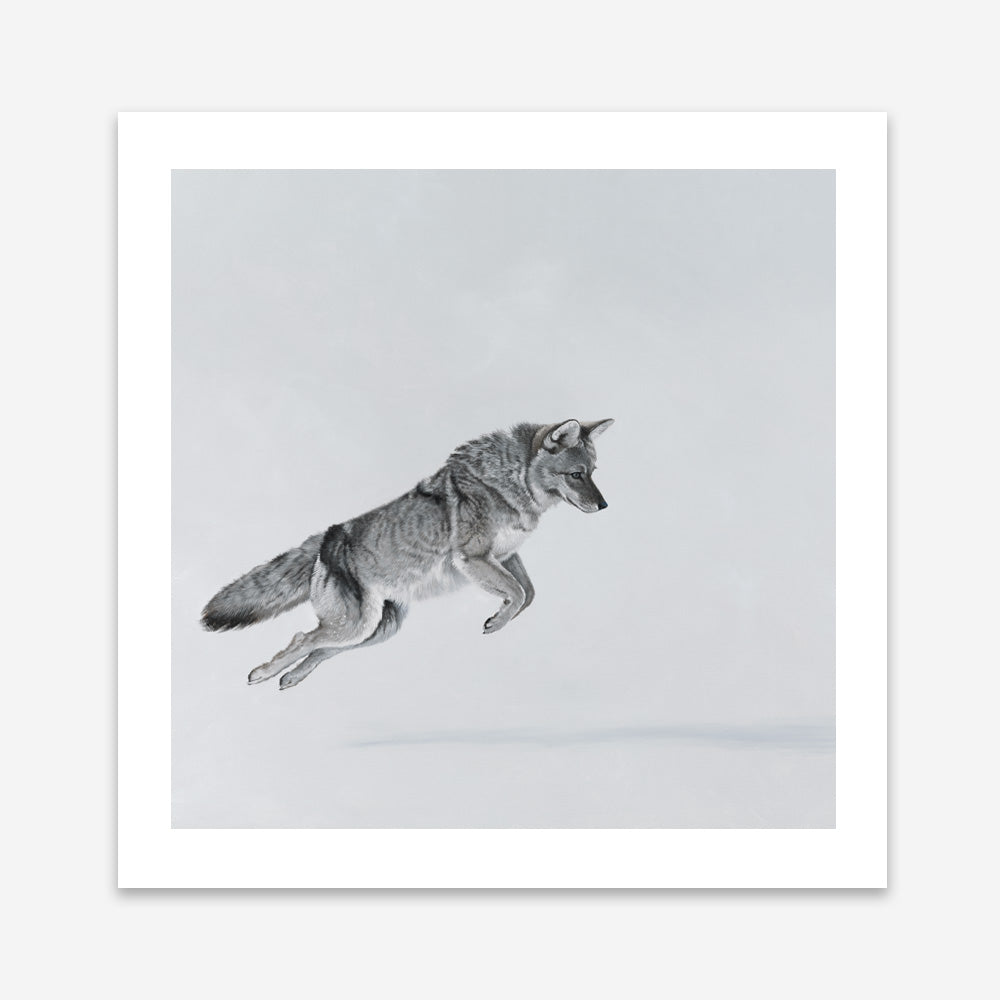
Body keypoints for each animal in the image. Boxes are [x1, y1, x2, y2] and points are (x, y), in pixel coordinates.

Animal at [201, 418, 614, 690]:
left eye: (593, 471)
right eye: (576, 474)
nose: (605, 506)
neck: (510, 483)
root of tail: (327, 537)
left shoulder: (505, 557)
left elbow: (527, 595)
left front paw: (498, 617)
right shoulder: (475, 559)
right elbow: (518, 593)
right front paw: (496, 622)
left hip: (372, 632)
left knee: (321, 649)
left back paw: (289, 678)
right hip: (355, 627)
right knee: (303, 639)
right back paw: (263, 674)